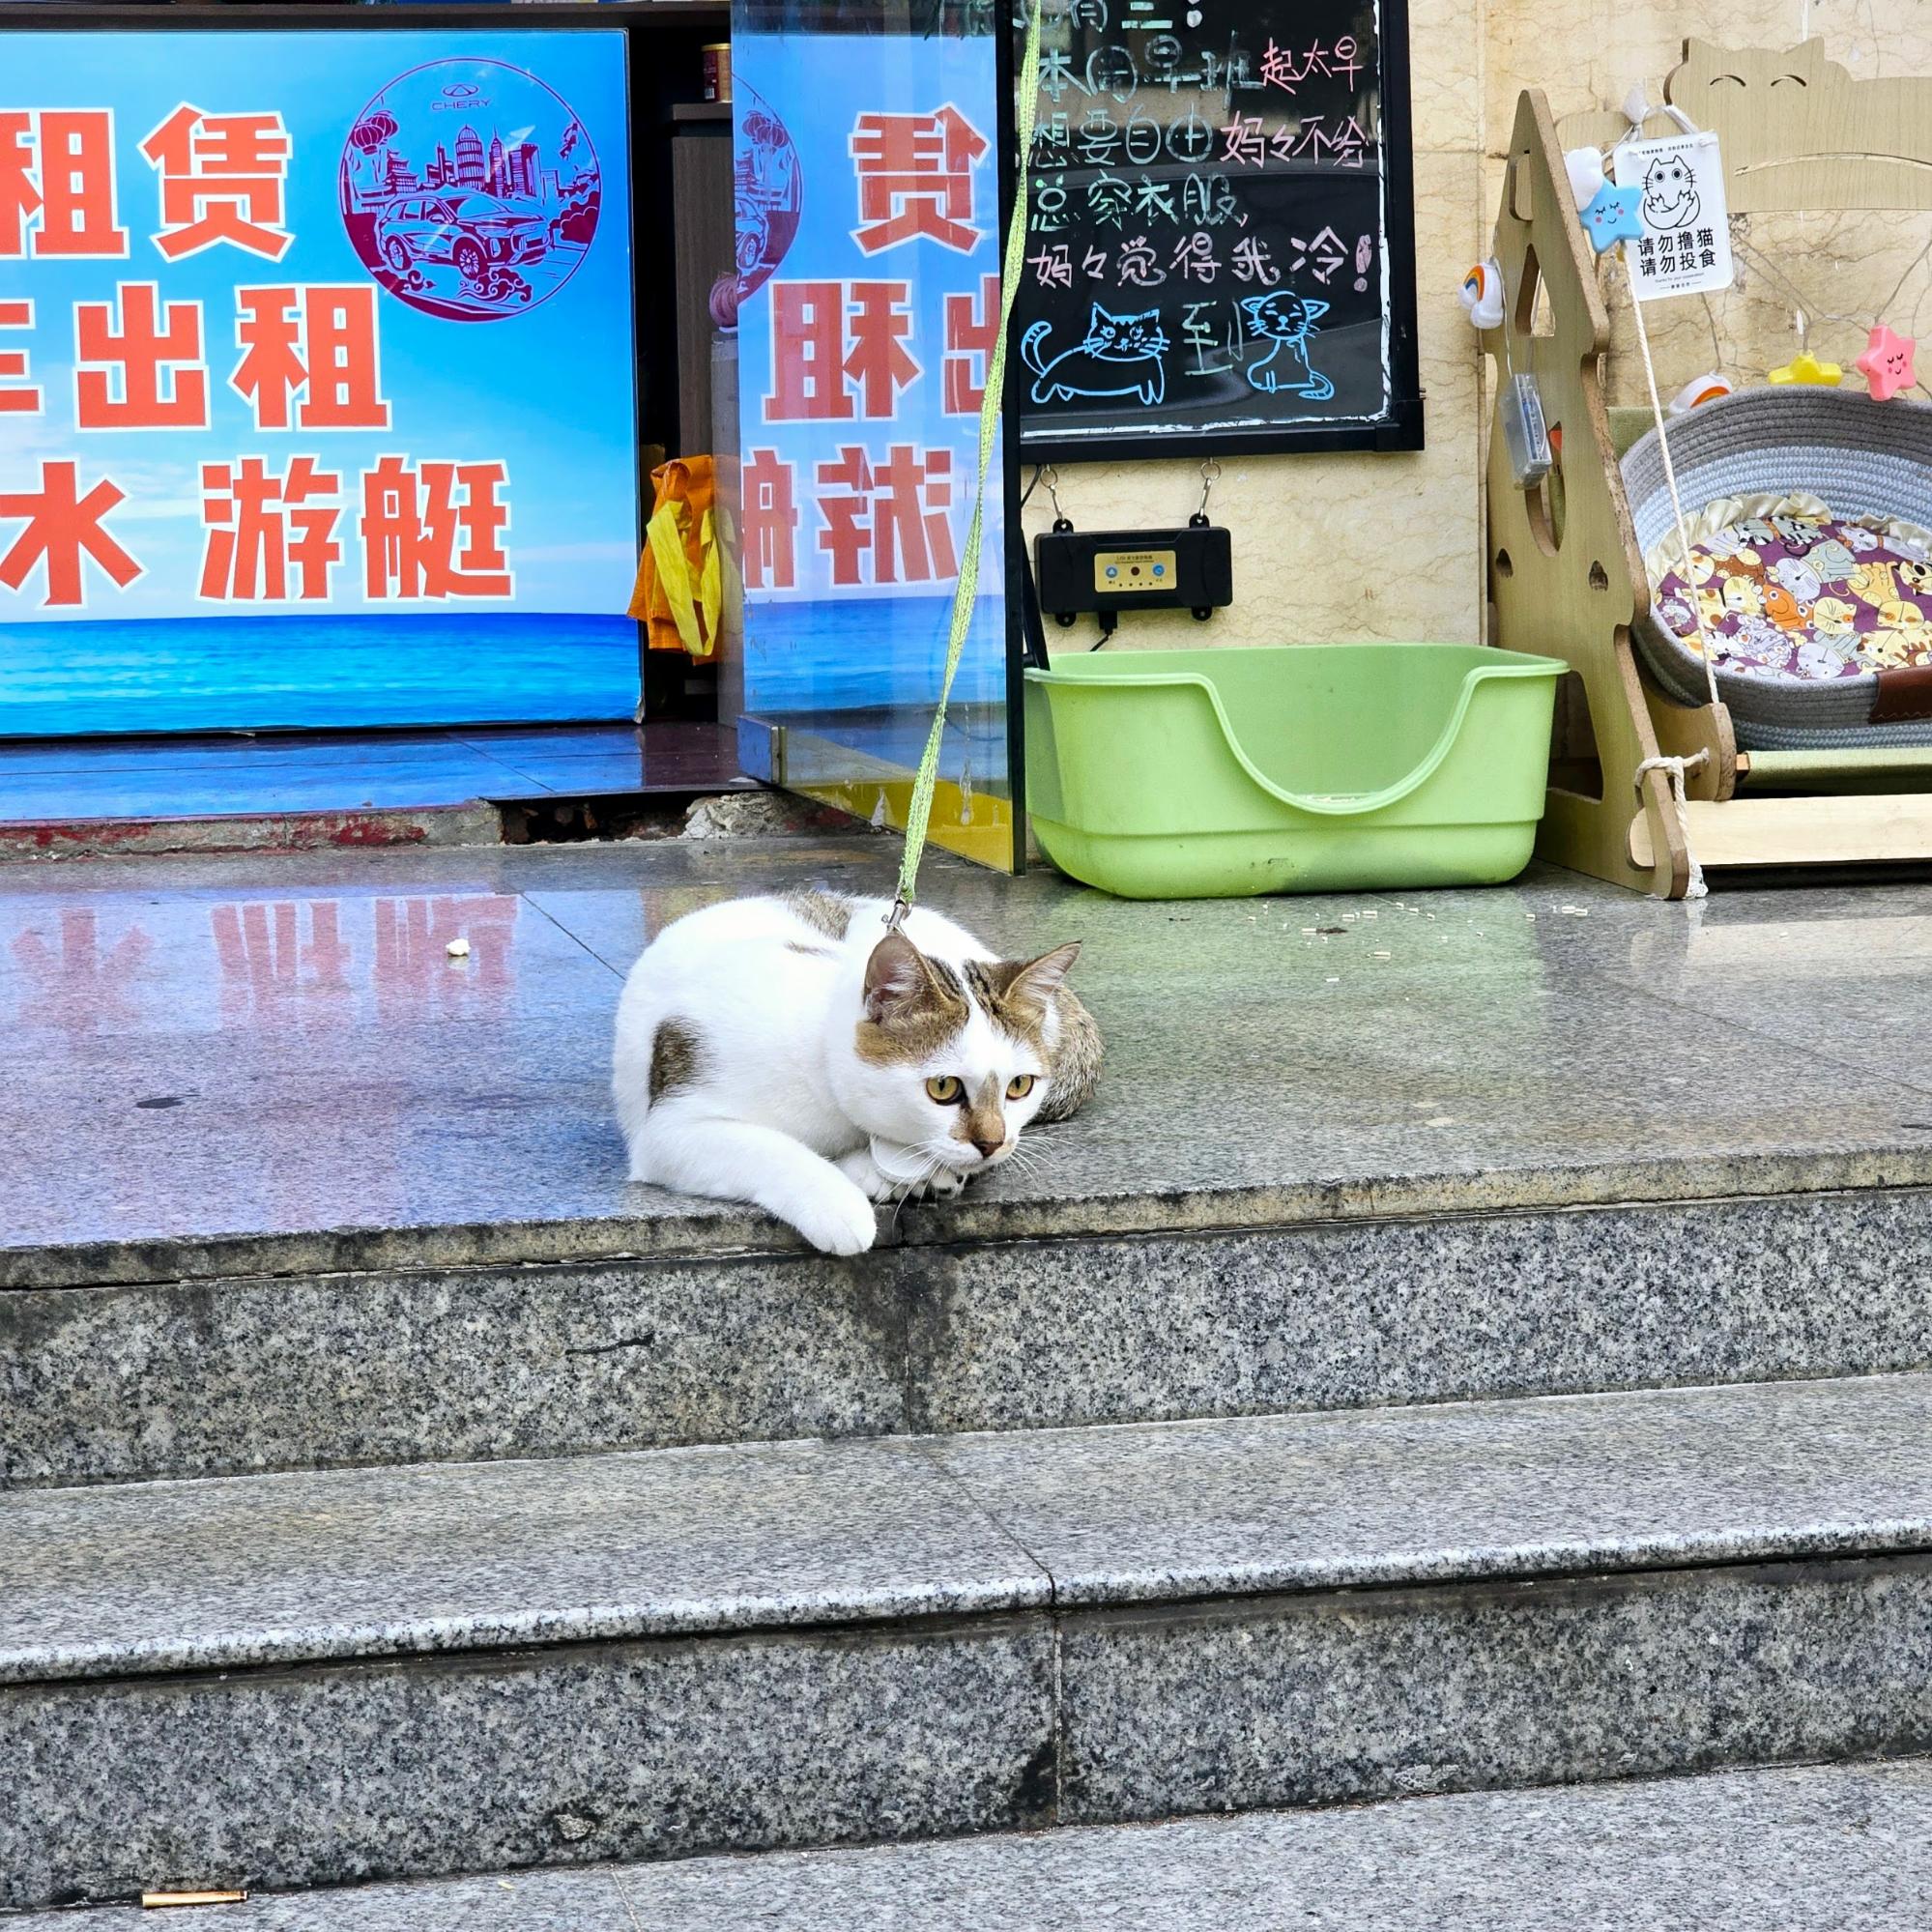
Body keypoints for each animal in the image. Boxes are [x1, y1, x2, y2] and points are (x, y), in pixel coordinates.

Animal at [618, 888, 1105, 1252]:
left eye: (1019, 1086)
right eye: (943, 1088)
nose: (993, 1143)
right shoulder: (667, 1130)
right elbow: (768, 1148)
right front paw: (839, 1206)